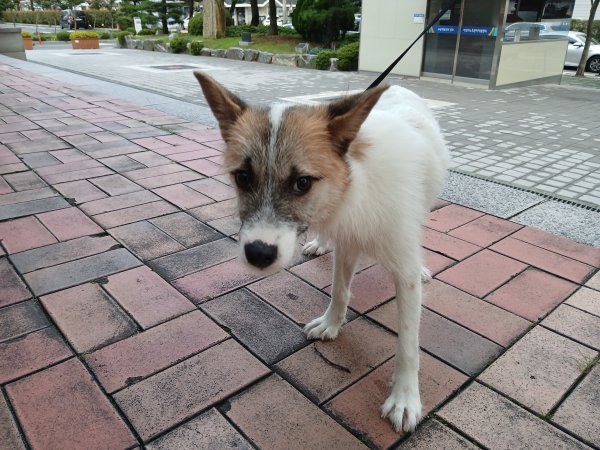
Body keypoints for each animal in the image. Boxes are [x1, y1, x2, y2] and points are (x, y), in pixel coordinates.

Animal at [195, 73, 448, 432]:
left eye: (303, 182)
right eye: (242, 177)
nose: (258, 254)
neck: (354, 187)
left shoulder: (403, 274)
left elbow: (408, 345)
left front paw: (405, 398)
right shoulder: (347, 242)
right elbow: (339, 290)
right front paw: (331, 324)